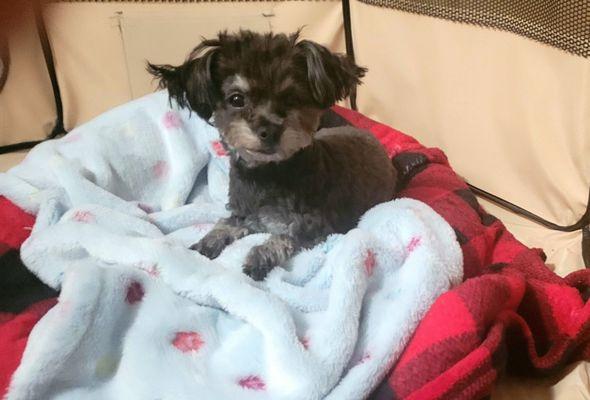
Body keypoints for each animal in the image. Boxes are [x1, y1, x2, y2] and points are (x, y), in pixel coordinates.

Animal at [148, 30, 400, 282]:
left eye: (292, 98)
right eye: (236, 99)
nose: (269, 130)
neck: (268, 173)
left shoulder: (315, 228)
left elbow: (280, 240)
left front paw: (257, 259)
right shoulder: (242, 212)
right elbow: (224, 224)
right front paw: (207, 243)